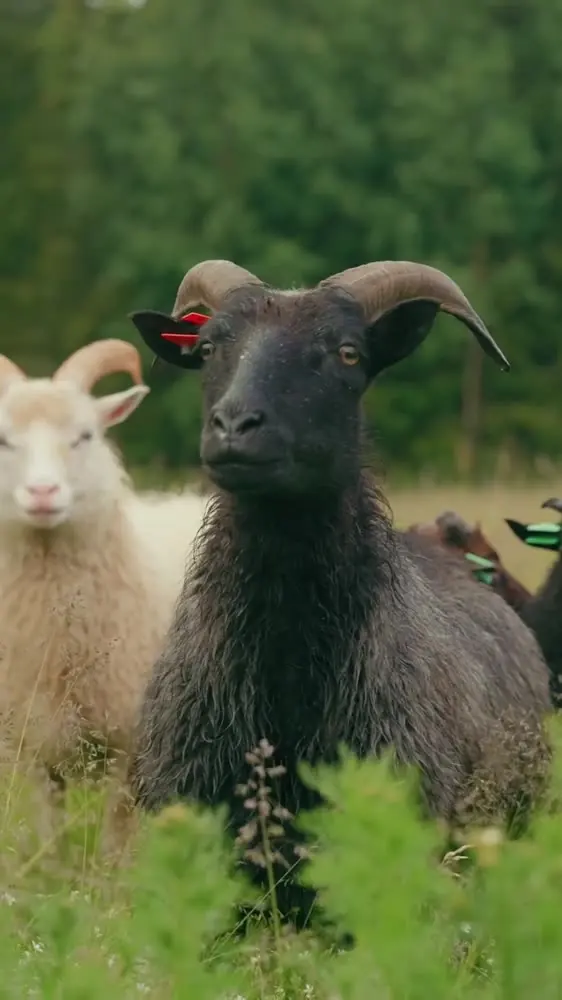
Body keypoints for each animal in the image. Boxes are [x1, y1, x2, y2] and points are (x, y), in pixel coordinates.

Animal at [0, 339, 204, 853]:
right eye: (4, 440)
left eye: (85, 435)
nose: (43, 492)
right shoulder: (33, 747)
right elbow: (51, 838)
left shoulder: (128, 746)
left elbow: (116, 837)